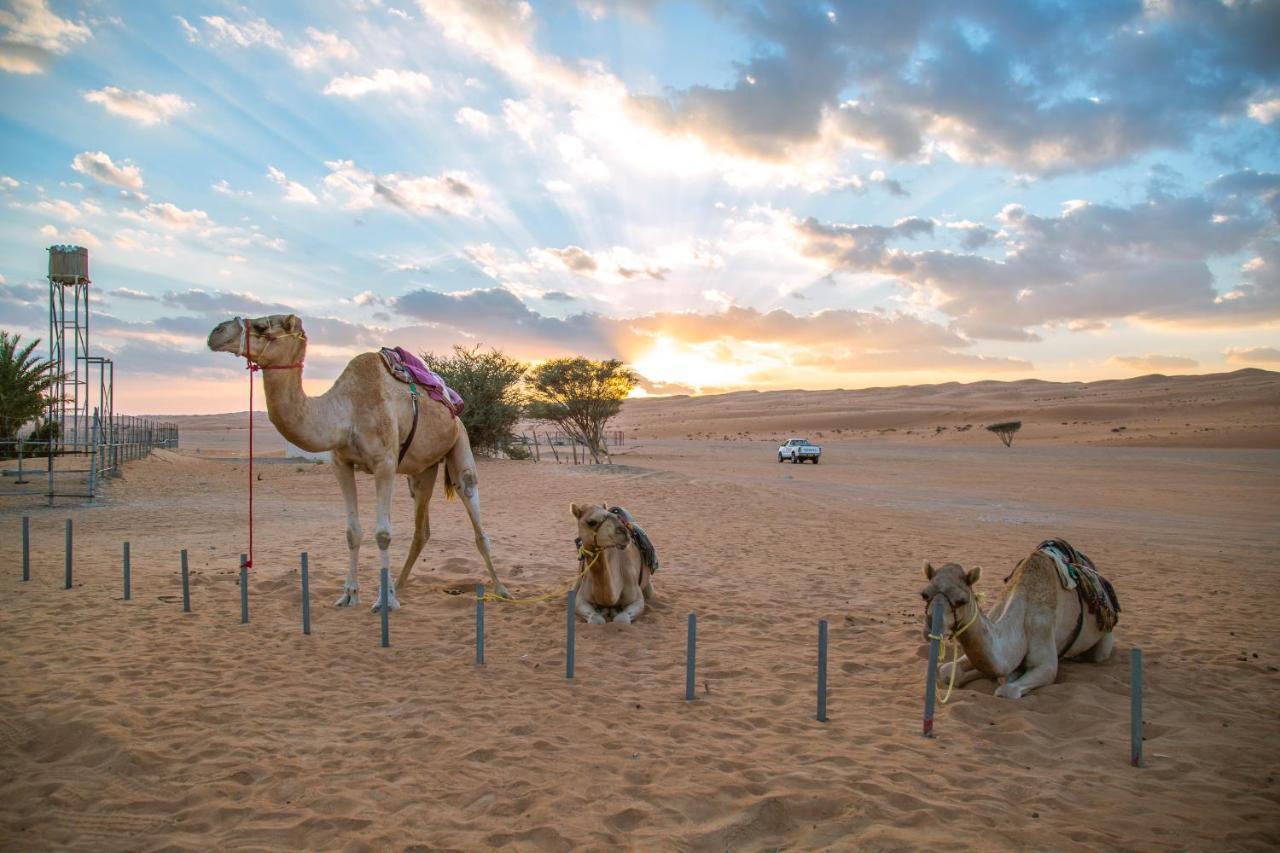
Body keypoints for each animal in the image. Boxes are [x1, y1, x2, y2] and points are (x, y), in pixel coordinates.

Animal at [209, 312, 509, 604]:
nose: (216, 332)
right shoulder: (341, 463)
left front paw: (384, 600)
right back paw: (400, 584)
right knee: (421, 529)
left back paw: (500, 588)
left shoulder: (385, 464)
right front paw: (349, 594)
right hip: (422, 470)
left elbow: (383, 534)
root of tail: (453, 404)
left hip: (460, 442)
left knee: (472, 504)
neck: (346, 411)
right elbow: (352, 532)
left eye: (262, 326)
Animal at [921, 537, 1121, 696]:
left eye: (961, 600)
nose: (932, 626)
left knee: (1099, 655)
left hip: (1105, 640)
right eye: (924, 594)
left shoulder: (1045, 655)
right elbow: (947, 671)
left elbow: (1006, 689)